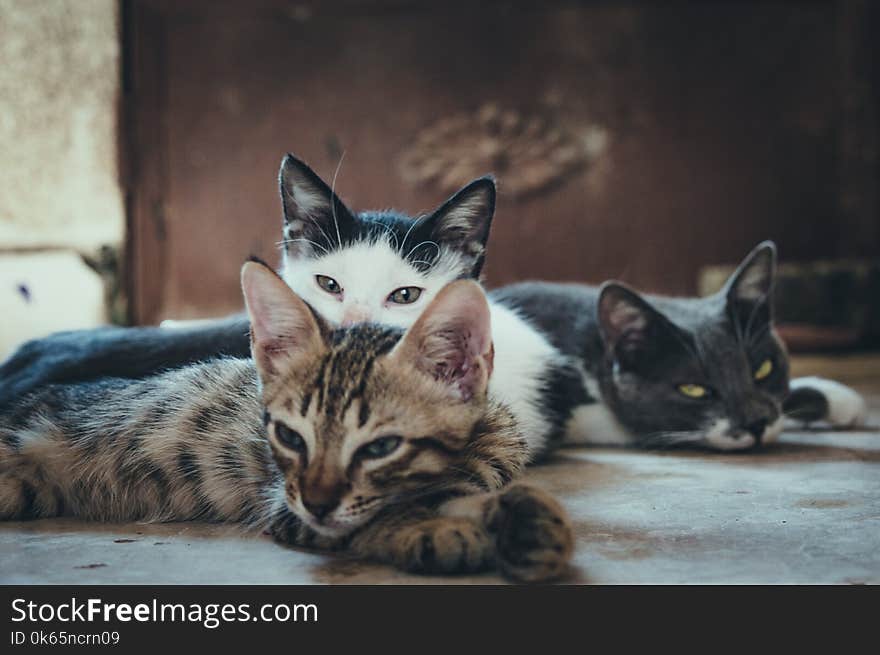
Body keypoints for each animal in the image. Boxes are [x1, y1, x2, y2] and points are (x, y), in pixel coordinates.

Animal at [0, 264, 576, 580]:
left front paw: (521, 524)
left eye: (380, 446)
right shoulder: (287, 504)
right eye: (287, 436)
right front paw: (440, 530)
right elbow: (375, 516)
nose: (319, 501)